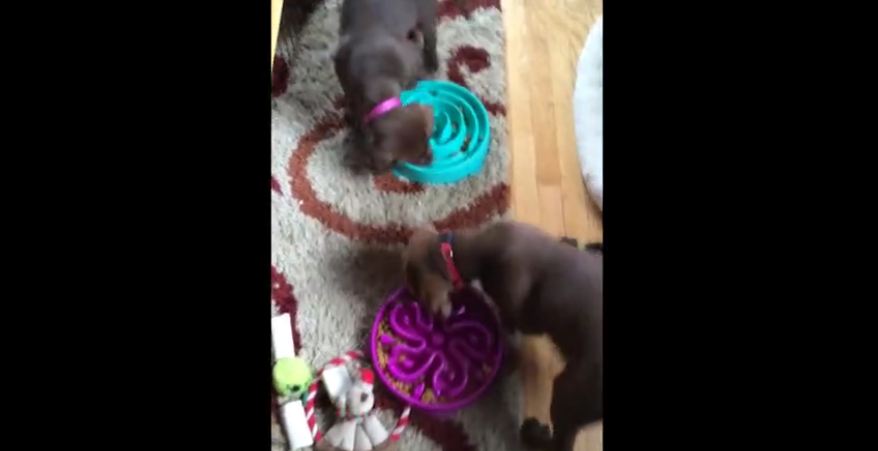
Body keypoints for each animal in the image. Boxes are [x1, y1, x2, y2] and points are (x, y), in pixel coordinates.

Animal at [334, 0, 440, 173]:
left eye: (428, 139)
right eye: (416, 158)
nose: (431, 159)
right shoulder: (347, 82)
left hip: (426, 16)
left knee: (431, 40)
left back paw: (433, 64)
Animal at [406, 222, 604, 451]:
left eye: (416, 292)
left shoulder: (523, 317)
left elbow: (511, 319)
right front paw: (570, 241)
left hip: (571, 391)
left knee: (562, 441)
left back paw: (532, 433)